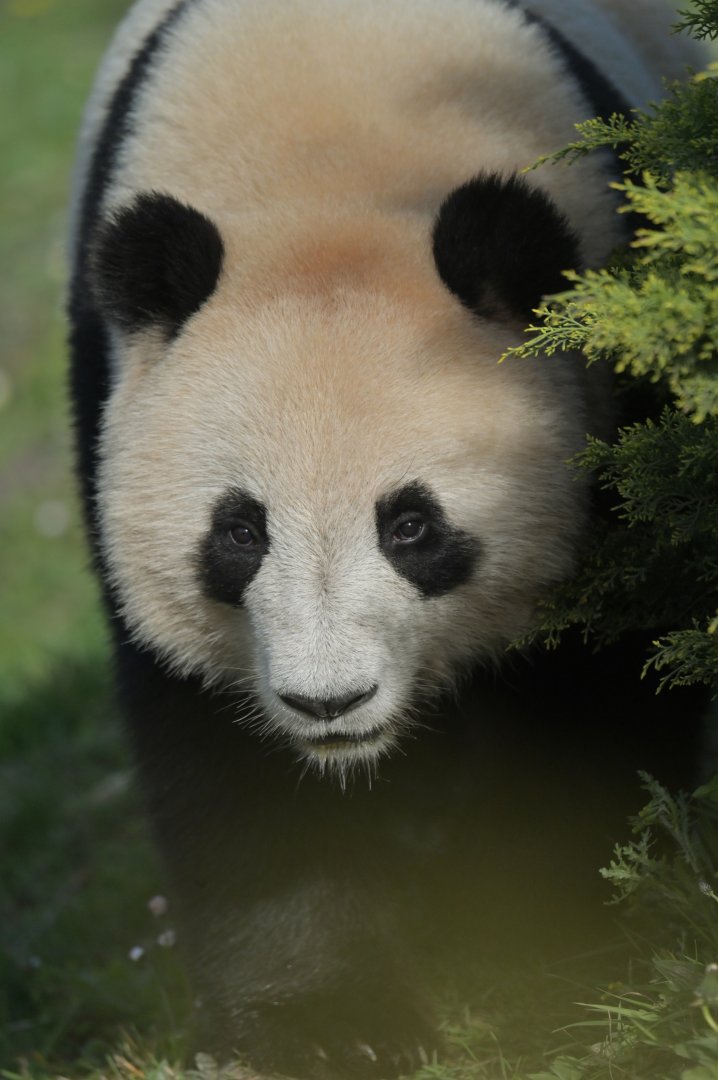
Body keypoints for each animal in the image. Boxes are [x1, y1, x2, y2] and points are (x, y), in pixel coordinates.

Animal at [68, 1, 702, 1076]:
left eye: (412, 526)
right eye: (239, 533)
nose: (330, 702)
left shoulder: (612, 369)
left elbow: (605, 679)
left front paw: (569, 949)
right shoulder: (112, 397)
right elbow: (218, 747)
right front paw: (327, 1026)